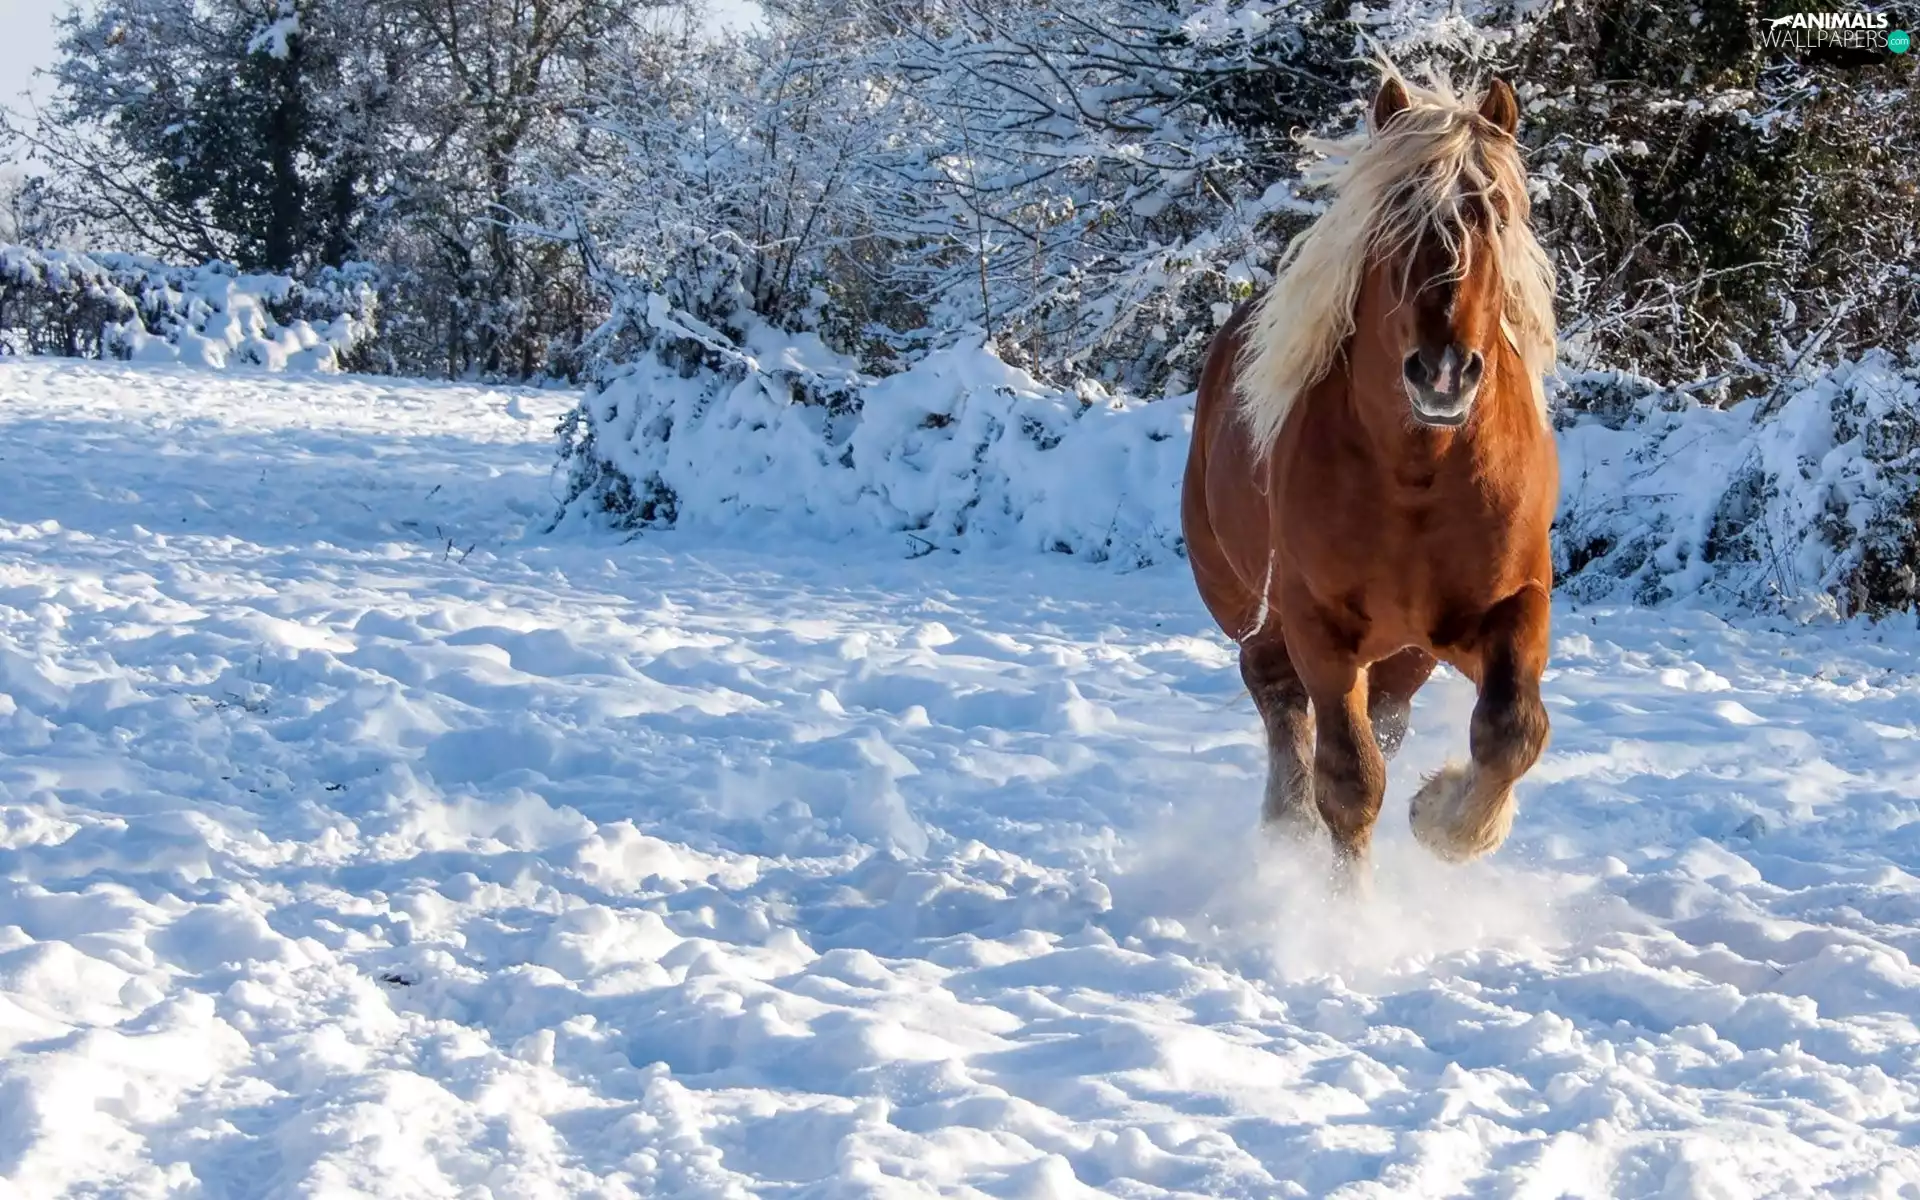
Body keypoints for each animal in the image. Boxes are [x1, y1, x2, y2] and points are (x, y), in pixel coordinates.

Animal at [1181, 66, 1559, 890]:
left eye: (1497, 214)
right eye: (1394, 219)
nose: (1442, 371)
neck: (1419, 476)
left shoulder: (1512, 604)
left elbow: (1511, 730)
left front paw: (1445, 818)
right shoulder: (1319, 627)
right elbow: (1350, 783)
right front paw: (1345, 910)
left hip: (1406, 651)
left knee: (1385, 717)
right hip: (1254, 609)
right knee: (1276, 697)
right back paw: (1286, 826)